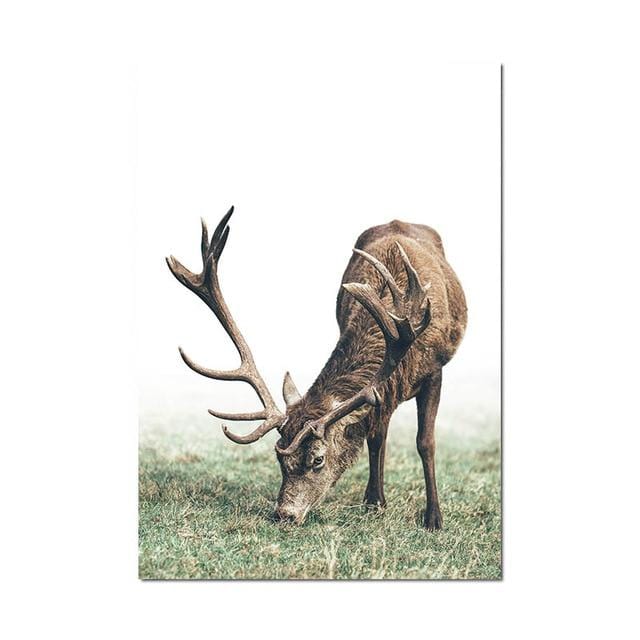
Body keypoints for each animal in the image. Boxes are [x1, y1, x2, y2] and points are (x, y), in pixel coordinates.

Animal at [166, 206, 467, 529]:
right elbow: (375, 436)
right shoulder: (382, 392)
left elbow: (425, 442)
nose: (284, 514)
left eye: (318, 459)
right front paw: (374, 502)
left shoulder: (434, 370)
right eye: (280, 459)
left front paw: (434, 518)